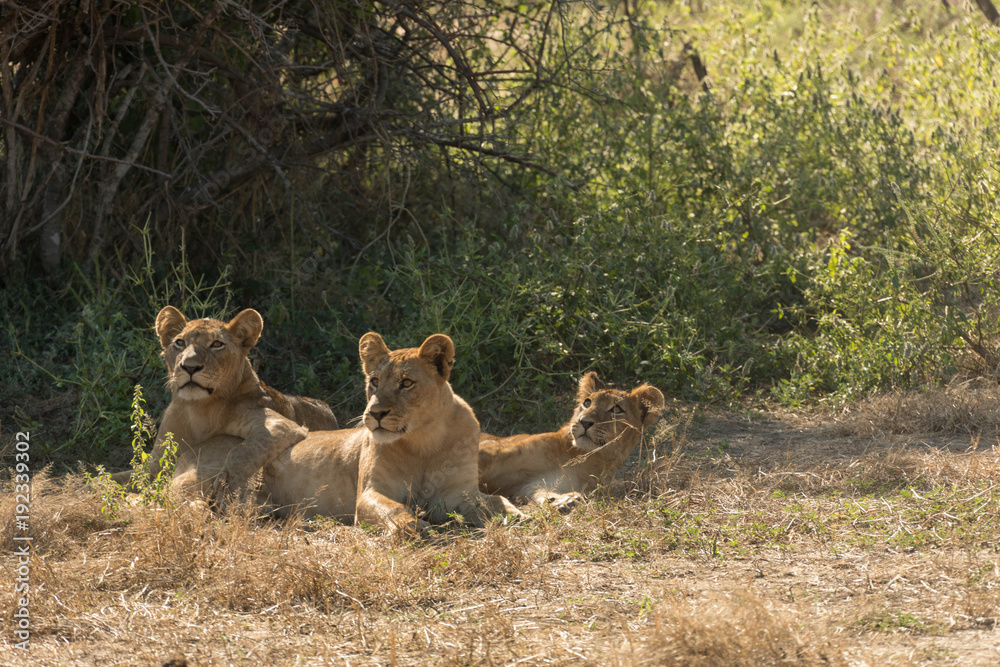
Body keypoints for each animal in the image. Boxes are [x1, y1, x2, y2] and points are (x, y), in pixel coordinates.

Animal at [113, 306, 339, 508]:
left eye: (216, 344)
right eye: (179, 342)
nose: (190, 367)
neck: (197, 409)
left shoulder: (281, 426)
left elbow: (242, 453)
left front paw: (228, 488)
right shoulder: (156, 462)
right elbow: (118, 477)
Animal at [259, 332, 522, 536]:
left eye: (406, 383)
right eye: (374, 381)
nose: (375, 413)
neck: (424, 440)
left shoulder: (457, 493)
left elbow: (495, 500)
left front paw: (515, 515)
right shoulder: (370, 494)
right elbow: (396, 510)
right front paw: (418, 528)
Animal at [478, 372, 664, 511]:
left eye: (616, 409)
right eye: (587, 403)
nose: (585, 422)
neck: (584, 458)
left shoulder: (528, 486)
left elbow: (540, 493)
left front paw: (564, 501)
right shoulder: (492, 449)